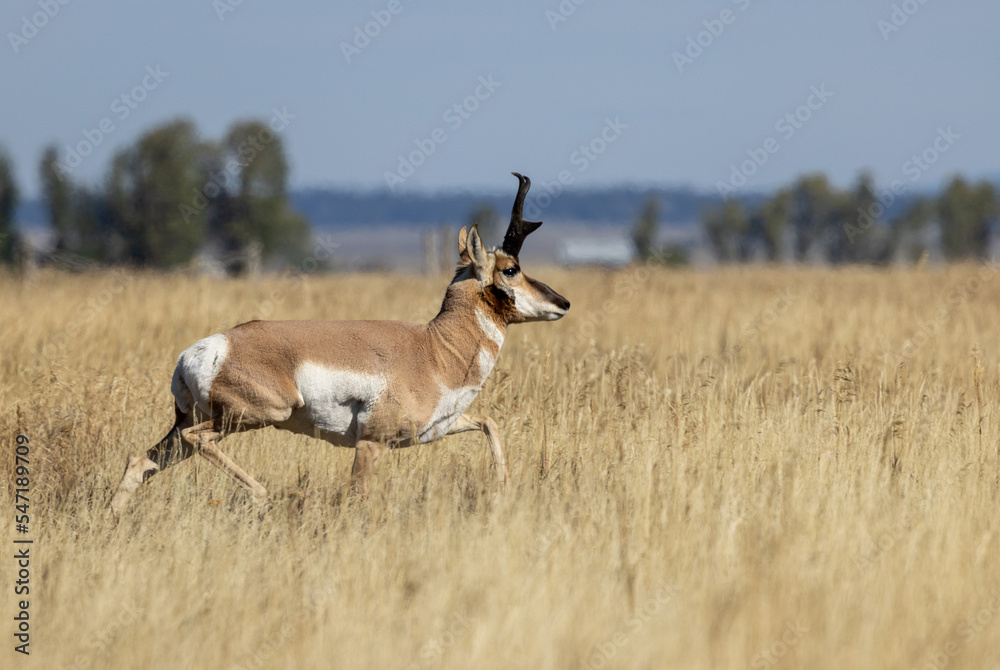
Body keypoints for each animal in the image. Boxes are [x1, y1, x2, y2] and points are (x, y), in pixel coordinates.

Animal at [108, 173, 569, 519]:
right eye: (511, 269)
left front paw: (504, 486)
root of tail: (200, 351)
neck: (433, 348)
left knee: (140, 460)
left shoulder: (436, 429)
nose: (563, 303)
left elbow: (490, 422)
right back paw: (263, 496)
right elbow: (357, 499)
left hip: (190, 423)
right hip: (256, 415)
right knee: (198, 443)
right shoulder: (371, 444)